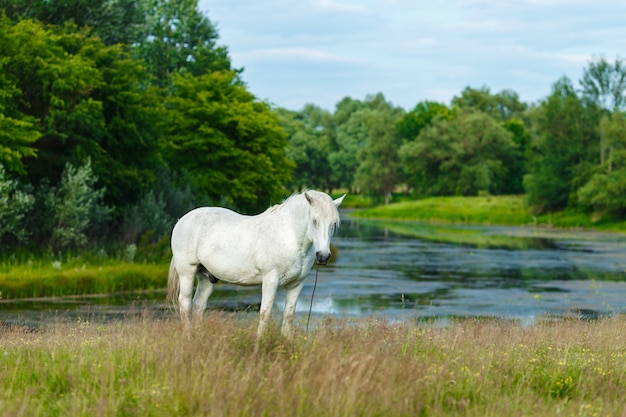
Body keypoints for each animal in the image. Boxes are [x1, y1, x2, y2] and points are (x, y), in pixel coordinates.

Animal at [166, 190, 344, 336]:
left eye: (334, 224)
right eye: (314, 221)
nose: (323, 256)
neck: (288, 236)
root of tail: (182, 220)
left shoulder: (296, 284)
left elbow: (289, 314)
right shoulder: (270, 280)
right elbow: (265, 313)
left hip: (206, 277)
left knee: (199, 305)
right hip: (187, 272)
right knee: (185, 303)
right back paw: (188, 337)